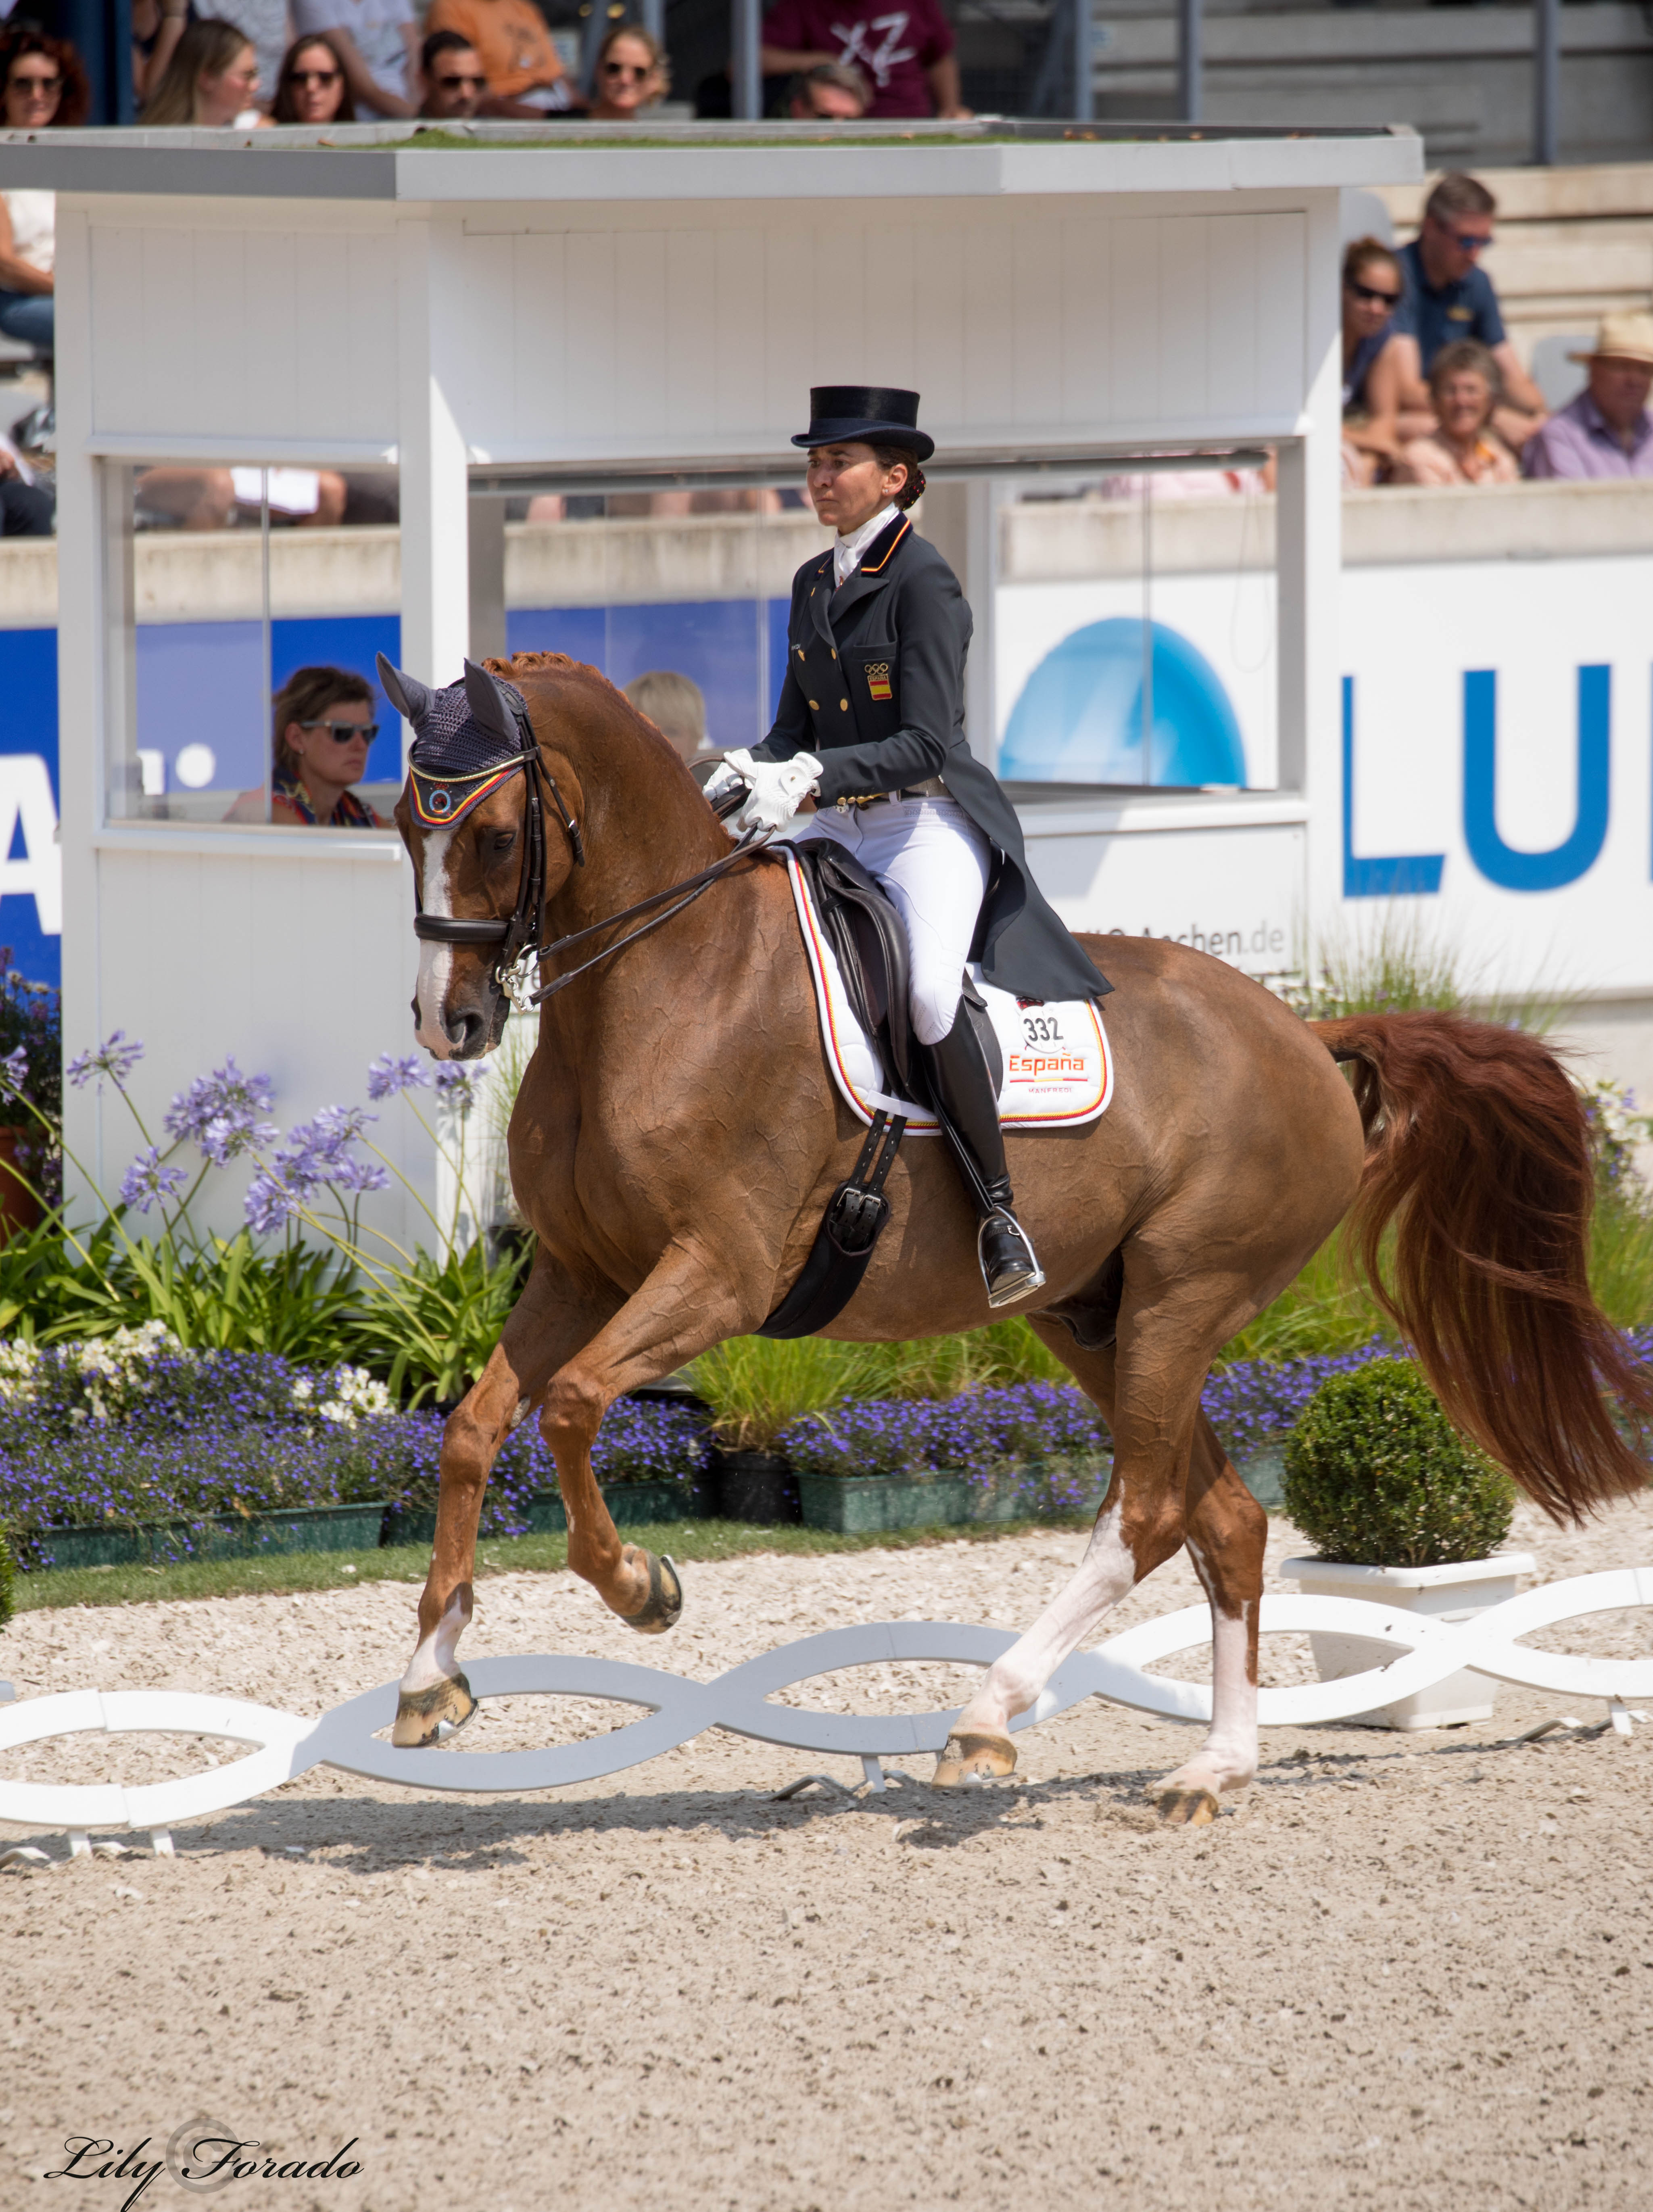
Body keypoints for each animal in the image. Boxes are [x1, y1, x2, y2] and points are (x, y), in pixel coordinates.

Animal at [392, 650, 1653, 1814]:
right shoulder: (579, 1273)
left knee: (1144, 1513)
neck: (670, 983)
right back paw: (1212, 1766)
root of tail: (1303, 1031)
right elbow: (475, 1428)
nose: (451, 1022)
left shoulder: (718, 1274)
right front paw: (429, 1679)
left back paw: (987, 1718)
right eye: (404, 822)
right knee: (1227, 1519)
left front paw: (639, 1585)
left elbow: (570, 1405)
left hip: (1182, 1297)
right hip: (1093, 1317)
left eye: (494, 836)